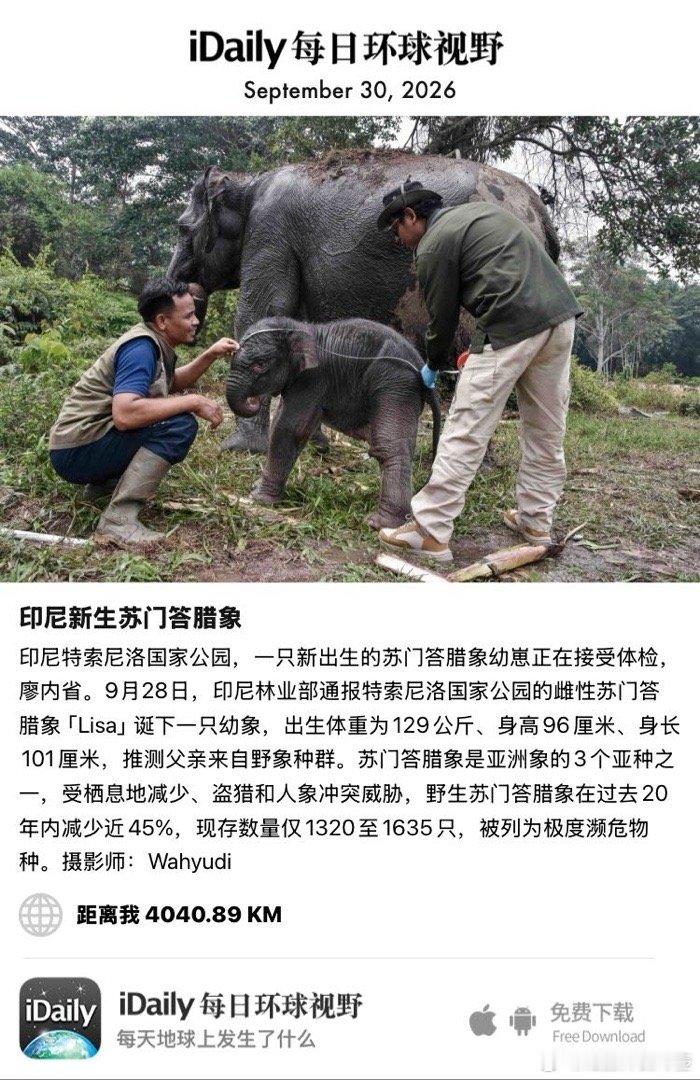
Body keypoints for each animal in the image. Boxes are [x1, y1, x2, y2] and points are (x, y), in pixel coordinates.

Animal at [167, 149, 560, 452]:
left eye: (183, 228)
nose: (185, 293)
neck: (249, 183)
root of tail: (540, 210)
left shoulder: (270, 231)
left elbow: (261, 313)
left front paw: (240, 450)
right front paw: (316, 445)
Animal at [225, 315, 441, 529]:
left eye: (260, 365)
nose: (254, 400)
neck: (297, 328)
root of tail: (422, 368)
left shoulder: (312, 379)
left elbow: (288, 430)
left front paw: (259, 499)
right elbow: (283, 422)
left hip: (395, 382)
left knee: (389, 447)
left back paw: (381, 523)